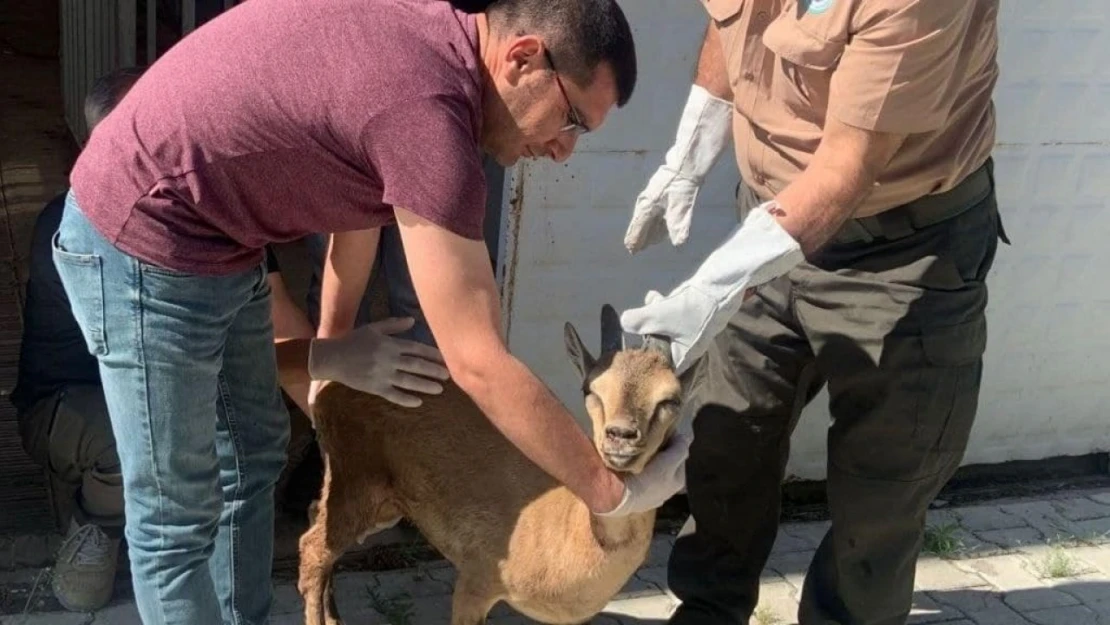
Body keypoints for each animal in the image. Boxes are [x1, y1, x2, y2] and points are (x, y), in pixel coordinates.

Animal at [299, 304, 688, 625]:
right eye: (590, 389)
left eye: (671, 399)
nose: (621, 436)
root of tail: (329, 391)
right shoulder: (477, 576)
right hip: (357, 481)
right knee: (313, 549)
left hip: (382, 499)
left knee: (314, 514)